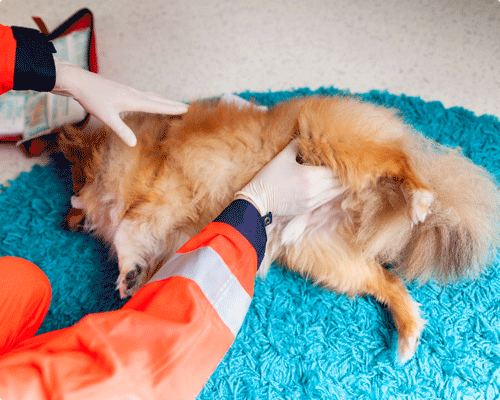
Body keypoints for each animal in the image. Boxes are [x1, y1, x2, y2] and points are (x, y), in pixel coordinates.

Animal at [57, 94, 496, 362]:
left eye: (75, 178)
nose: (65, 220)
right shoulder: (173, 231)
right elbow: (146, 248)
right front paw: (135, 278)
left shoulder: (163, 192)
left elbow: (129, 229)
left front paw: (128, 270)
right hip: (330, 261)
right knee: (389, 282)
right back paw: (408, 335)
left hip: (332, 144)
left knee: (398, 161)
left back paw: (418, 196)